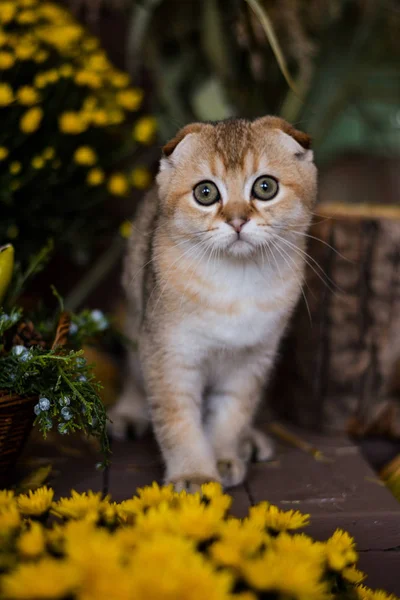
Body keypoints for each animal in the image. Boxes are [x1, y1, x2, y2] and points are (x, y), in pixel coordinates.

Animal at [108, 116, 318, 492]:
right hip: (135, 313)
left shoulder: (252, 360)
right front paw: (193, 473)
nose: (236, 220)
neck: (236, 283)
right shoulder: (169, 354)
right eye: (205, 193)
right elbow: (177, 420)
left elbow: (231, 414)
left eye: (265, 187)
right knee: (132, 368)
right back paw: (129, 411)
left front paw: (222, 456)